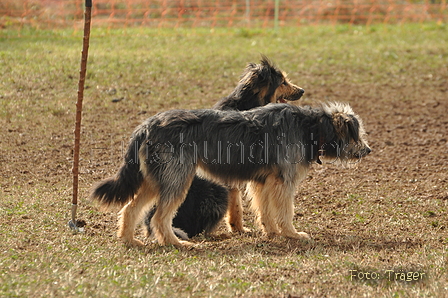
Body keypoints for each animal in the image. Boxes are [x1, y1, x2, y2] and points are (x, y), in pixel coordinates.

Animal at [91, 102, 372, 247]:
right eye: (357, 133)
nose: (368, 150)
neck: (311, 126)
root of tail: (148, 125)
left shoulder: (263, 182)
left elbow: (265, 211)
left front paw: (271, 233)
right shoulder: (284, 182)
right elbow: (285, 211)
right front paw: (292, 234)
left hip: (155, 180)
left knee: (130, 208)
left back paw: (129, 240)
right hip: (177, 179)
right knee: (160, 218)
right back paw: (176, 244)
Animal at [143, 56, 304, 240]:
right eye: (283, 82)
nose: (302, 91)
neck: (247, 103)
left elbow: (238, 205)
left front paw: (239, 229)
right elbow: (243, 206)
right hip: (214, 192)